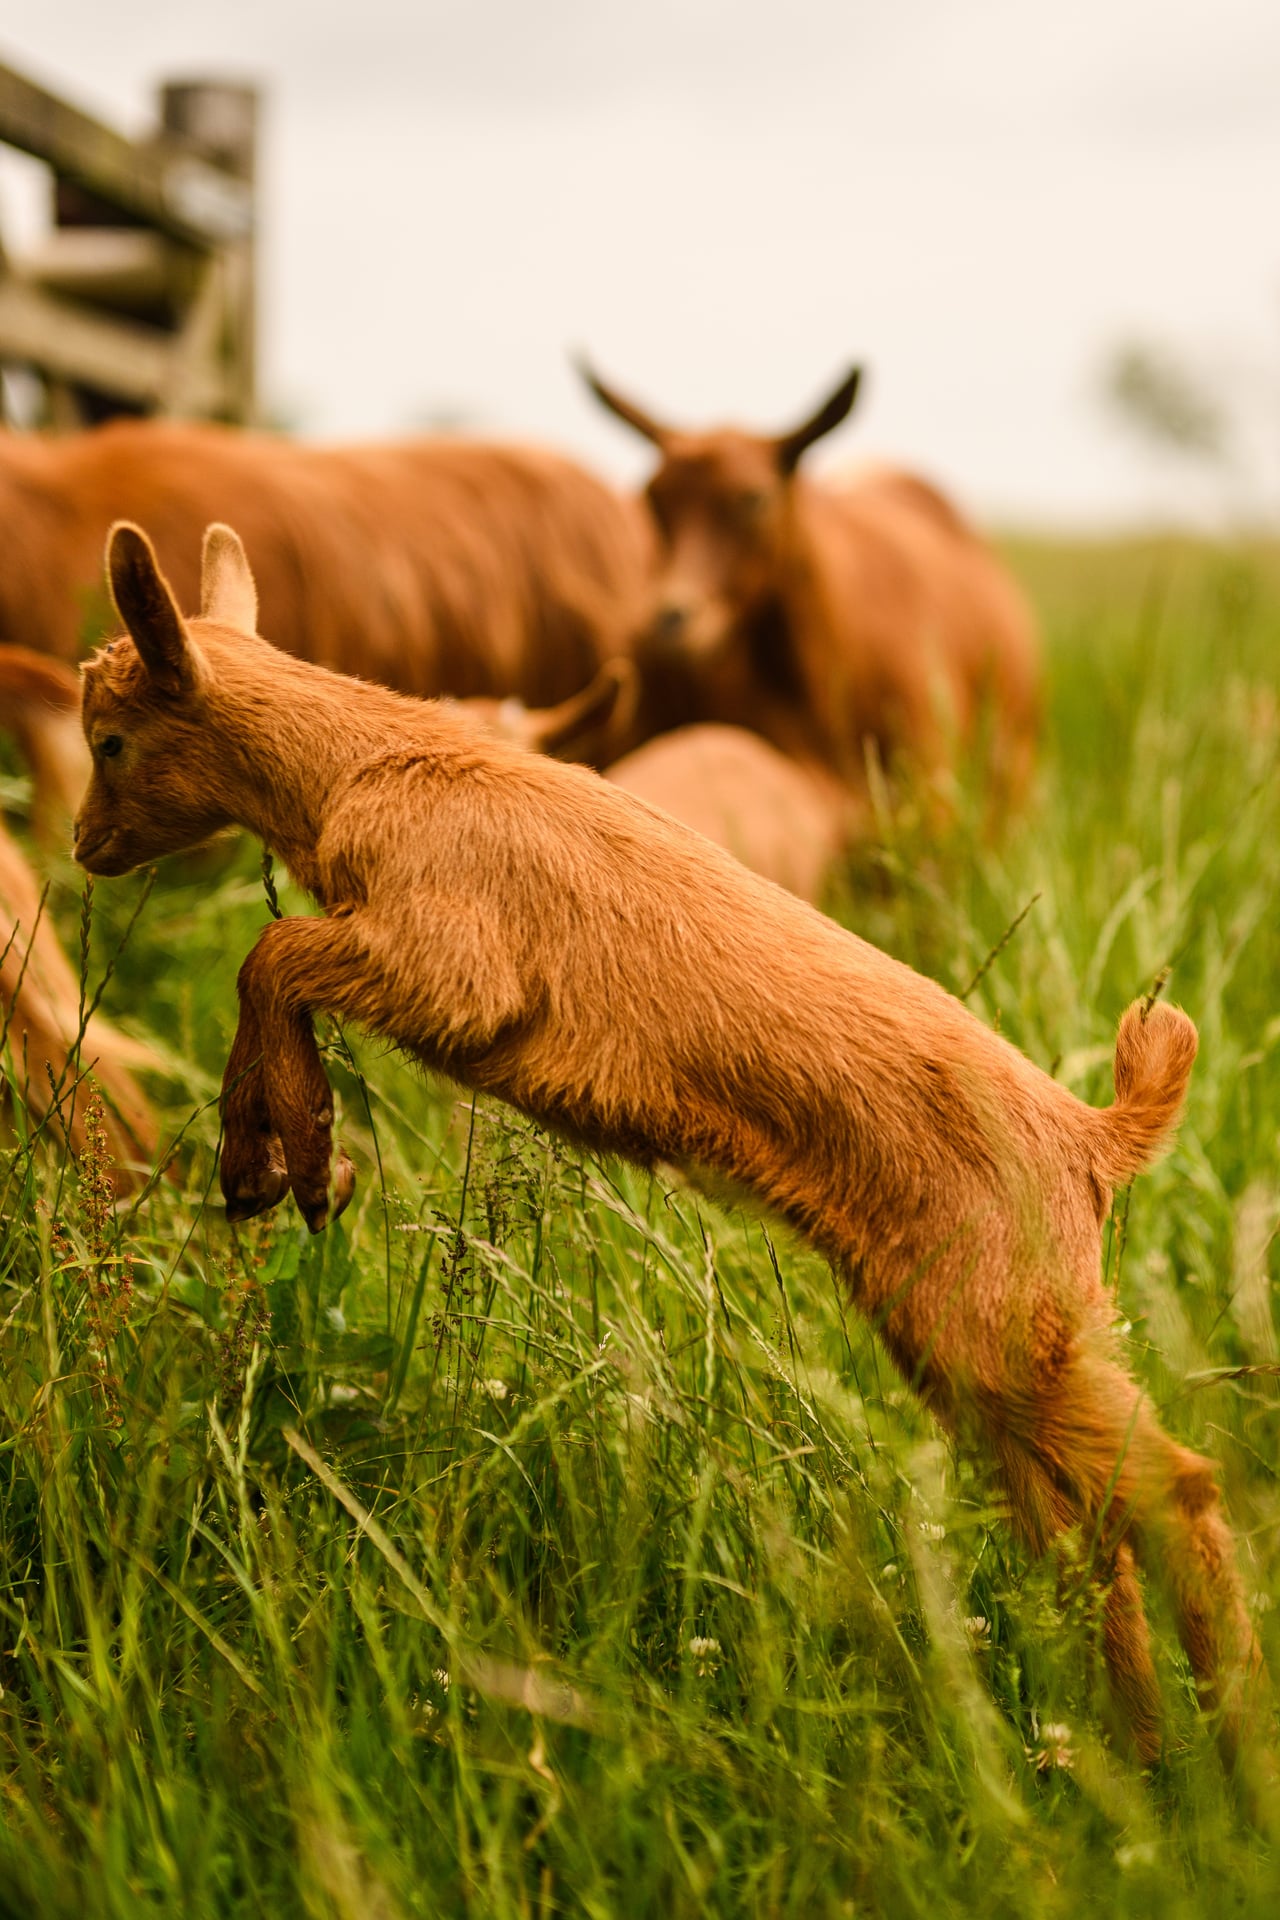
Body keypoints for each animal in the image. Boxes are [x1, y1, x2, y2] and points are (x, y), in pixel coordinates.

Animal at [74, 519, 1266, 1779]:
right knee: (1089, 1537)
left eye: (110, 739)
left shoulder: (454, 968)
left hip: (1000, 1332)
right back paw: (1124, 1761)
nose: (84, 845)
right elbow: (275, 963)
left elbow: (274, 956)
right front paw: (285, 1155)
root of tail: (1095, 1135)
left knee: (1176, 1495)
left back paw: (1228, 1764)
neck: (369, 767)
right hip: (984, 1343)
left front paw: (281, 1153)